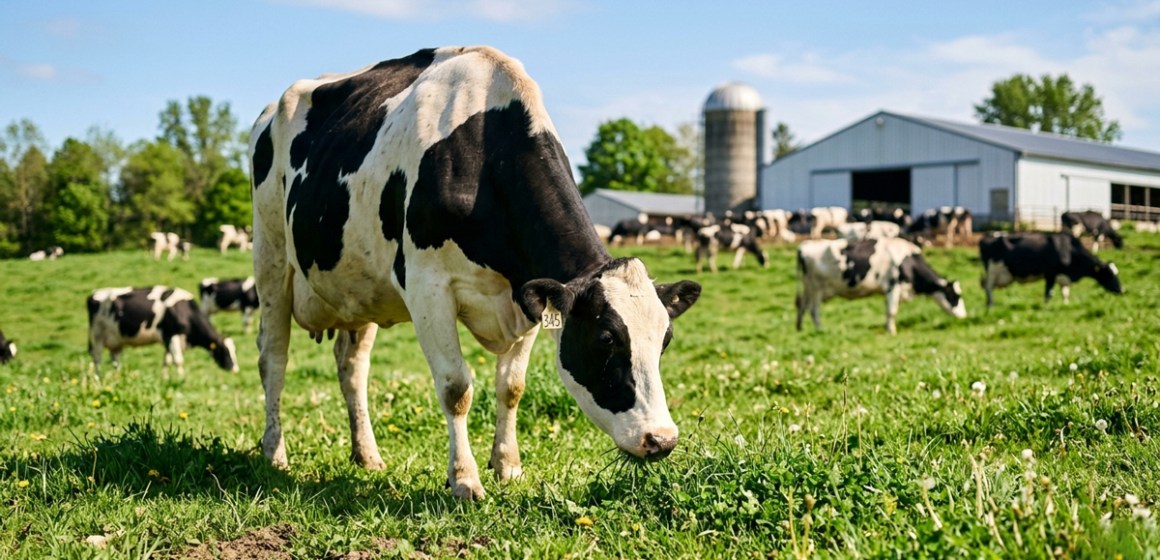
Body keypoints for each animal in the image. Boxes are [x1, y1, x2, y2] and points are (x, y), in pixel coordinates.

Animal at [87, 286, 238, 377]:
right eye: (225, 351)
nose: (235, 369)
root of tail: (93, 294)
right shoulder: (173, 335)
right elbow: (178, 360)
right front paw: (181, 378)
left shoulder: (167, 338)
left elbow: (167, 360)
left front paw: (165, 377)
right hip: (97, 336)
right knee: (97, 358)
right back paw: (98, 377)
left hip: (116, 340)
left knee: (115, 360)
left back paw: (117, 376)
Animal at [249, 46, 702, 499]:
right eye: (606, 338)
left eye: (665, 340)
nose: (662, 440)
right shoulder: (427, 288)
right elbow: (456, 388)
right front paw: (464, 478)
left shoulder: (527, 294)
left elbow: (512, 387)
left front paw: (508, 465)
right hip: (271, 258)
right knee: (274, 358)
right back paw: (274, 452)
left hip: (358, 286)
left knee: (352, 368)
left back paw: (367, 454)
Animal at [796, 238, 967, 334]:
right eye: (955, 296)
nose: (964, 316)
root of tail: (804, 245)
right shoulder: (893, 286)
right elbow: (892, 311)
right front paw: (892, 331)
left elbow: (888, 311)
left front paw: (887, 327)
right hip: (816, 287)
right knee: (813, 310)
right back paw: (820, 329)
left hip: (808, 287)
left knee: (802, 305)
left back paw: (799, 328)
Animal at [979, 232, 1122, 309]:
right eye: (1109, 274)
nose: (1121, 290)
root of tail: (987, 236)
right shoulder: (1050, 274)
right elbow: (1049, 293)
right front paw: (1046, 307)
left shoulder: (1063, 276)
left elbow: (1065, 293)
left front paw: (1065, 304)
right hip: (993, 271)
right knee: (988, 288)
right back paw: (991, 305)